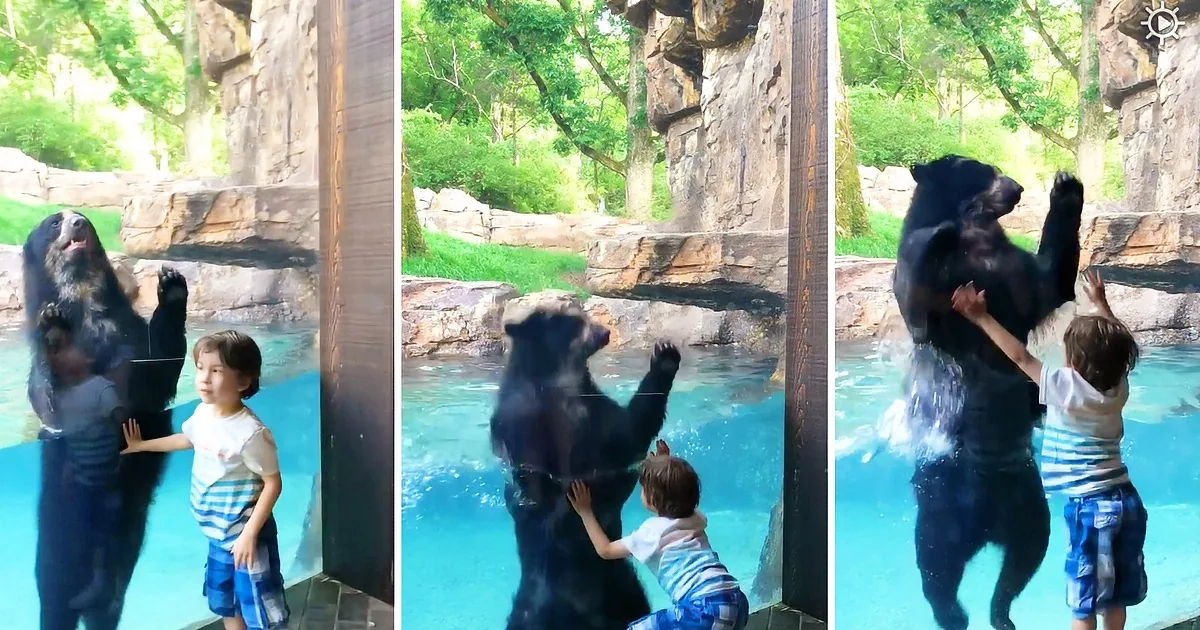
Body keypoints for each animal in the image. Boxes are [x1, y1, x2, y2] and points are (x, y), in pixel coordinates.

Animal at [23, 210, 189, 630]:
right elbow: (51, 397)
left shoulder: (133, 341)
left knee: (108, 600)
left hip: (123, 548)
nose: (78, 222)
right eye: (54, 222)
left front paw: (171, 286)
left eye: (83, 218)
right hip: (58, 546)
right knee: (56, 601)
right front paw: (53, 326)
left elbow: (156, 374)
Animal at [489, 302, 681, 630]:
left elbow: (628, 433)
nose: (604, 331)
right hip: (538, 603)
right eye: (573, 321)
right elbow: (531, 479)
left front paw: (665, 357)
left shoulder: (594, 409)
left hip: (622, 586)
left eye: (582, 313)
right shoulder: (523, 417)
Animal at [891, 155, 1084, 630]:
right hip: (938, 511)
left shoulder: (1012, 270)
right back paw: (956, 615)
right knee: (937, 569)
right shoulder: (933, 289)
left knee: (1025, 556)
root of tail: (984, 529)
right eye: (979, 168)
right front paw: (941, 232)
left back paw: (1000, 613)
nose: (1016, 188)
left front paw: (1066, 187)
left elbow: (1049, 282)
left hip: (1028, 503)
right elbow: (917, 298)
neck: (977, 239)